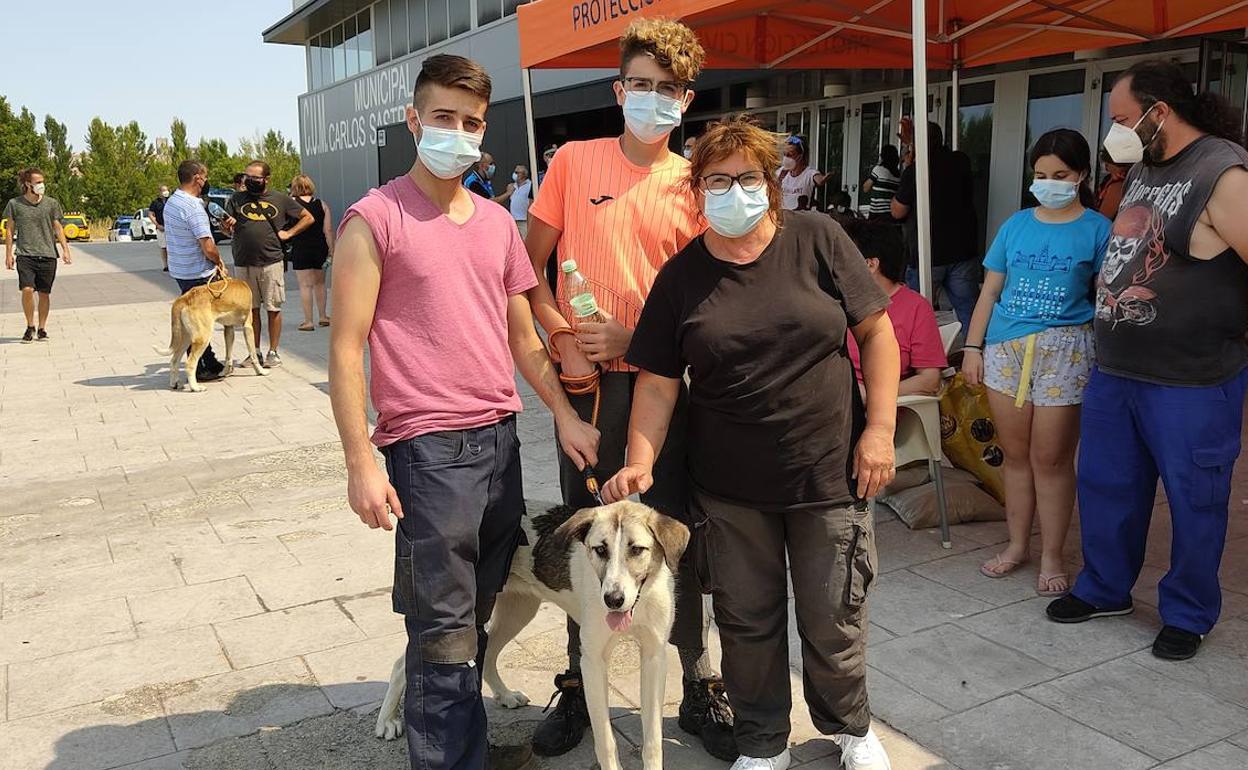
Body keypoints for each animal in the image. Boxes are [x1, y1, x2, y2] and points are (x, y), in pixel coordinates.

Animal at [374, 499, 688, 768]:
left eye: (637, 550)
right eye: (600, 549)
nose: (612, 599)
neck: (639, 601)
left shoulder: (655, 658)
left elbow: (652, 740)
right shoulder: (593, 662)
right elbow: (606, 741)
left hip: (517, 611)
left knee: (487, 655)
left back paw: (504, 695)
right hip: (464, 618)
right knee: (403, 663)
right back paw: (387, 721)